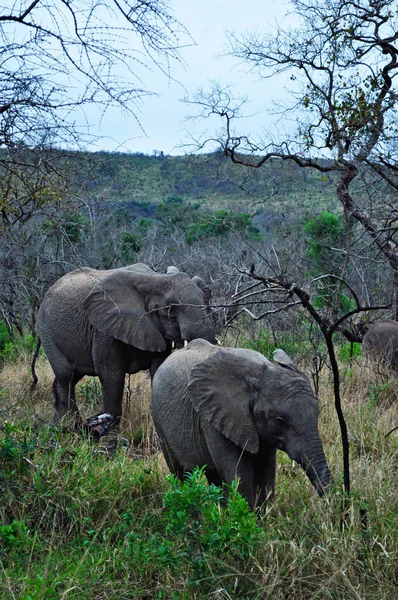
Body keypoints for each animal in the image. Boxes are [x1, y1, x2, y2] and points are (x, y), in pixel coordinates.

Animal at [35, 262, 216, 426]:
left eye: (207, 303)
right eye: (170, 311)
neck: (155, 278)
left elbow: (158, 367)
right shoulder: (105, 329)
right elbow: (111, 374)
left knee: (70, 376)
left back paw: (58, 424)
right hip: (47, 329)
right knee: (66, 374)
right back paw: (71, 426)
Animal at [152, 340, 332, 508]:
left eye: (317, 413)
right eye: (280, 421)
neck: (262, 373)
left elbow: (266, 474)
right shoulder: (215, 419)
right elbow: (239, 477)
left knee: (213, 477)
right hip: (158, 419)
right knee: (181, 474)